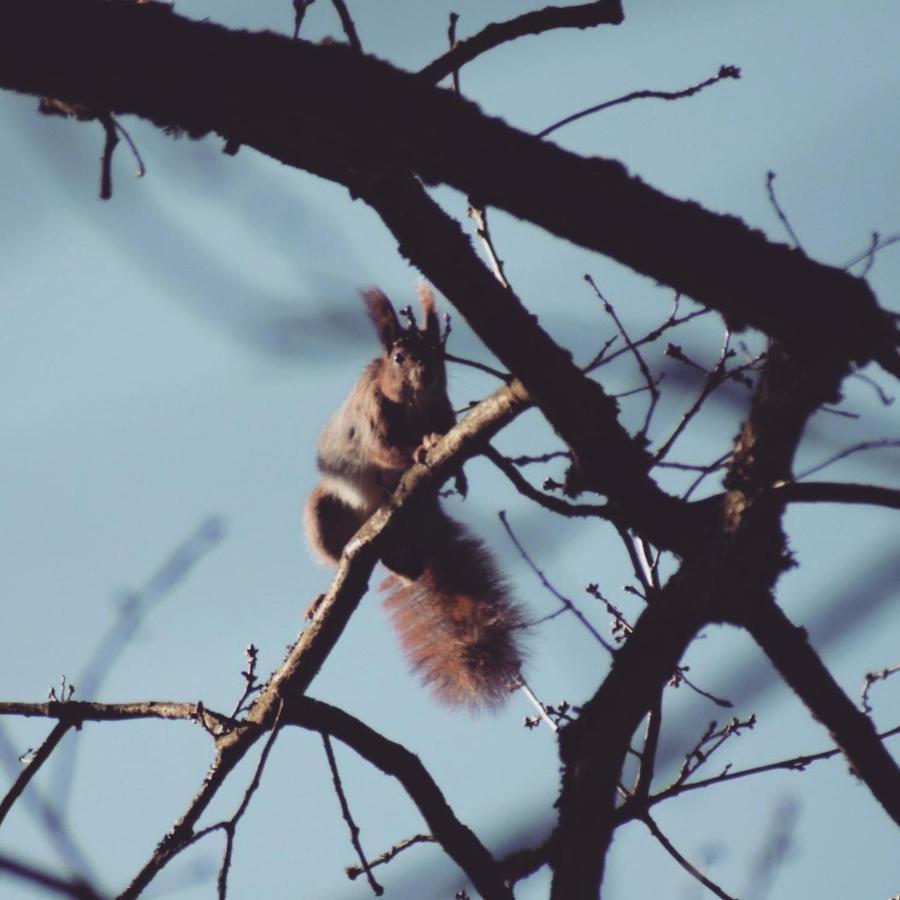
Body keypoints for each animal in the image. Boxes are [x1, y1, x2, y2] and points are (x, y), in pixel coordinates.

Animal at [304, 284, 528, 708]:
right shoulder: (371, 417)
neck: (413, 403)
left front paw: (456, 469)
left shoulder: (442, 410)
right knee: (348, 558)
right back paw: (324, 595)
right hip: (323, 516)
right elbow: (385, 450)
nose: (425, 371)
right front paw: (420, 448)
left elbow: (445, 429)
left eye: (437, 351)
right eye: (398, 357)